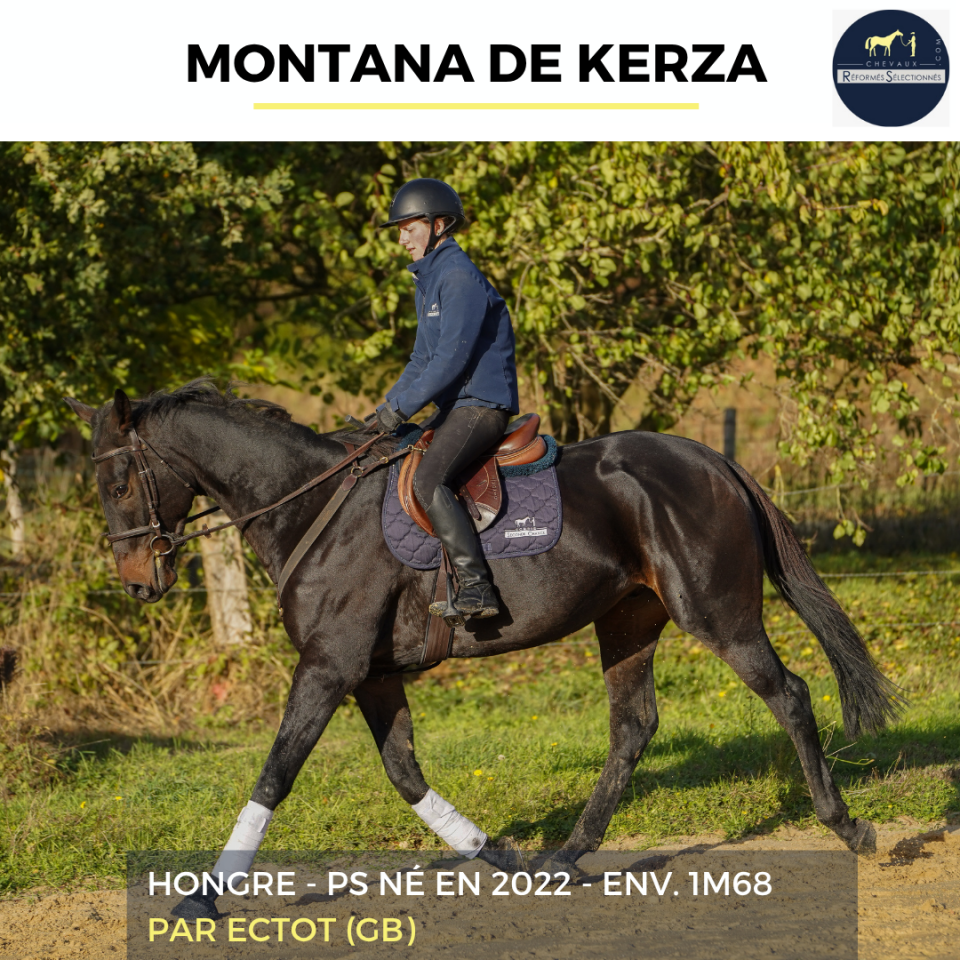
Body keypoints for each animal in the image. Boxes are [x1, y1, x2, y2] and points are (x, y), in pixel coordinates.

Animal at [65, 382, 902, 919]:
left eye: (116, 480)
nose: (137, 583)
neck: (311, 505)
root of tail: (712, 460)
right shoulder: (372, 677)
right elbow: (404, 775)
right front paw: (495, 853)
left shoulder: (330, 667)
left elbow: (275, 772)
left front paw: (206, 896)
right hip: (628, 620)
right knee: (633, 726)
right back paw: (562, 859)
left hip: (717, 614)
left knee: (788, 695)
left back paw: (847, 826)